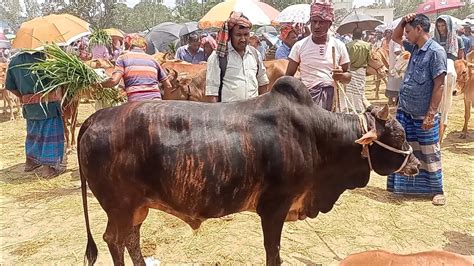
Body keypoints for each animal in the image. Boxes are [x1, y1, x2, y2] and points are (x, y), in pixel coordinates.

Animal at [79, 76, 420, 264]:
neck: (318, 136)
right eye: (399, 135)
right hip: (120, 206)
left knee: (131, 240)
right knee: (114, 240)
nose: (415, 164)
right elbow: (273, 253)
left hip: (138, 207)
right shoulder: (273, 208)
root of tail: (95, 118)